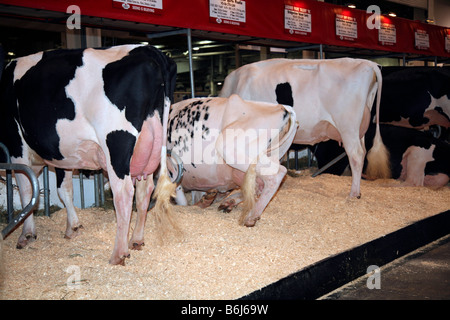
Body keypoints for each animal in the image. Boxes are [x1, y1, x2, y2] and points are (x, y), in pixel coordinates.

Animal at [0, 44, 179, 264]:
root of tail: (148, 50)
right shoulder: (64, 156)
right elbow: (64, 189)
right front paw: (73, 227)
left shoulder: (16, 146)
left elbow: (26, 191)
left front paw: (27, 234)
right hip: (148, 147)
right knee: (145, 191)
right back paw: (136, 240)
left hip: (116, 143)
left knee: (124, 193)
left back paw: (118, 253)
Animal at [167, 94, 298, 226]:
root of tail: (284, 108)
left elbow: (182, 201)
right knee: (257, 186)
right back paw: (228, 202)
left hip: (228, 147)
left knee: (276, 174)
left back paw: (251, 216)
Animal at [221, 57, 390, 198]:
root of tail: (368, 63)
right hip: (359, 130)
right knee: (363, 152)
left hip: (347, 127)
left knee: (356, 156)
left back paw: (353, 193)